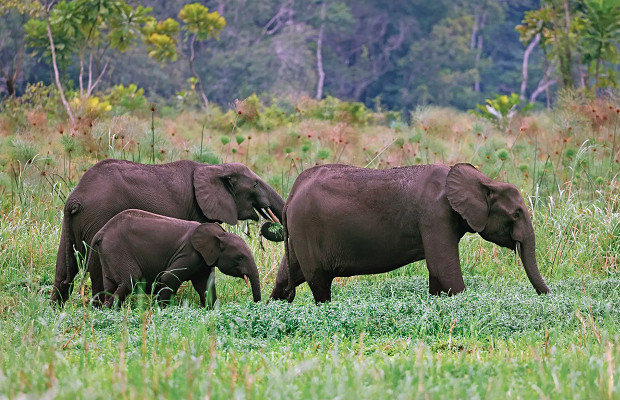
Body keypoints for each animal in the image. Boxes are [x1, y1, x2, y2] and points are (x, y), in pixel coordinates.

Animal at [88, 208, 262, 308]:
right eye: (239, 258)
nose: (256, 305)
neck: (220, 233)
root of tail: (101, 232)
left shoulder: (203, 260)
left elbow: (205, 285)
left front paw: (210, 310)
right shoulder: (190, 253)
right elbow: (168, 277)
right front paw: (161, 310)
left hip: (109, 253)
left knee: (110, 284)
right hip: (117, 249)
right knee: (131, 279)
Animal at [268, 162, 548, 304]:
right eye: (517, 214)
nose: (547, 299)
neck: (483, 180)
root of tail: (290, 195)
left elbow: (437, 271)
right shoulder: (435, 214)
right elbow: (444, 268)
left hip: (299, 234)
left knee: (288, 275)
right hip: (307, 228)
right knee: (319, 282)